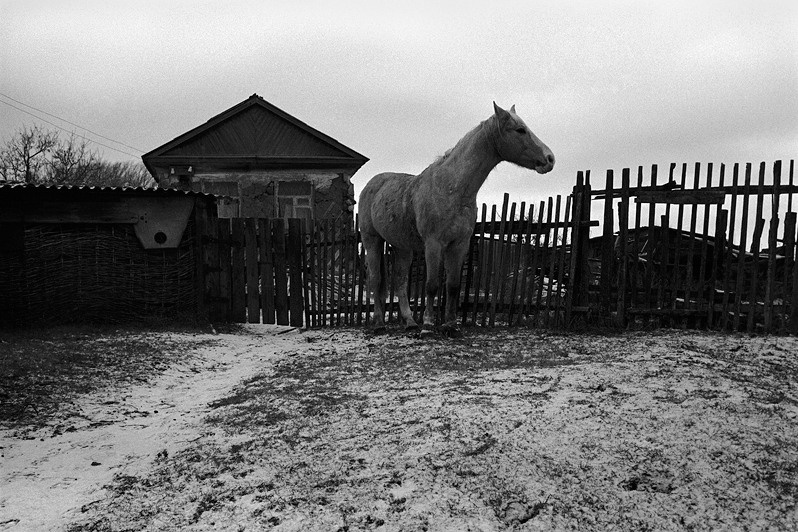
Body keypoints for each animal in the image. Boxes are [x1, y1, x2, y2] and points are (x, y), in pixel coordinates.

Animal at [358, 102, 555, 336]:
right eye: (520, 130)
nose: (550, 159)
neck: (451, 188)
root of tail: (372, 184)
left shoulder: (460, 244)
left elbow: (452, 285)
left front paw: (450, 325)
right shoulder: (434, 244)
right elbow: (432, 285)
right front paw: (428, 325)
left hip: (402, 247)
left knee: (400, 280)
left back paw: (410, 322)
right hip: (372, 241)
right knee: (375, 280)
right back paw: (380, 323)